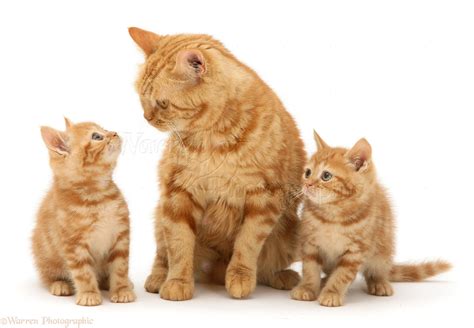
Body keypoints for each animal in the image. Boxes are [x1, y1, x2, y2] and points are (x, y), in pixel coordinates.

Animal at [32, 119, 135, 306]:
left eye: (105, 129)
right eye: (97, 136)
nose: (114, 133)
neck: (98, 197)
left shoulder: (120, 236)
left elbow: (120, 267)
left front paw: (122, 289)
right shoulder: (74, 244)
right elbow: (83, 273)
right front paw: (88, 294)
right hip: (45, 255)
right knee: (48, 276)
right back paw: (60, 284)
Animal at [129, 27, 308, 300]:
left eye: (162, 103)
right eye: (142, 98)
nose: (147, 117)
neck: (213, 140)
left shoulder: (264, 199)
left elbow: (247, 244)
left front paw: (240, 277)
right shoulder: (178, 192)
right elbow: (179, 246)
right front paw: (178, 282)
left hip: (292, 232)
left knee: (268, 266)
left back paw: (281, 277)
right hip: (160, 214)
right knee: (162, 253)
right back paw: (158, 278)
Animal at [292, 131, 452, 308]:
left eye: (326, 175)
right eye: (307, 172)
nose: (307, 184)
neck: (332, 216)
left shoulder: (356, 251)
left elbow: (343, 275)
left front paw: (332, 293)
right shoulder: (310, 243)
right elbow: (310, 268)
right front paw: (307, 287)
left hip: (382, 252)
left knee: (375, 271)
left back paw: (379, 283)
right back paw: (323, 281)